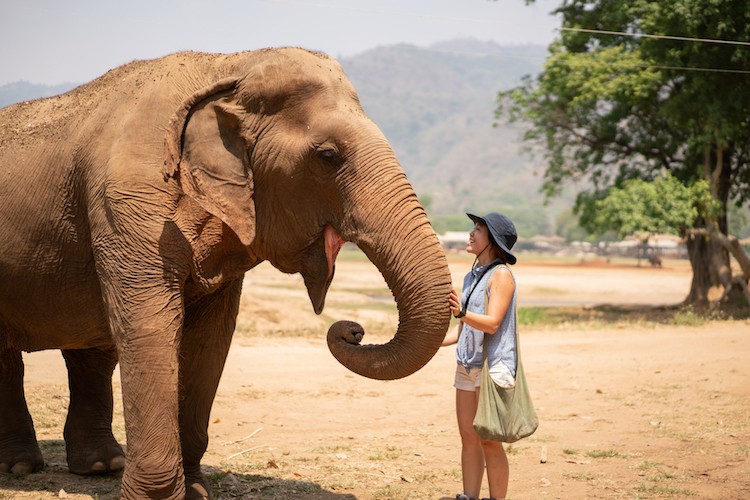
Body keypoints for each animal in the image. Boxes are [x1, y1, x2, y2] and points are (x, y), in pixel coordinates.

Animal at [0, 48, 452, 498]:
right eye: (328, 156)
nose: (352, 330)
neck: (227, 66)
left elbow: (211, 338)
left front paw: (195, 491)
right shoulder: (127, 205)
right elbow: (149, 327)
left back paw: (98, 466)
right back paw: (22, 468)